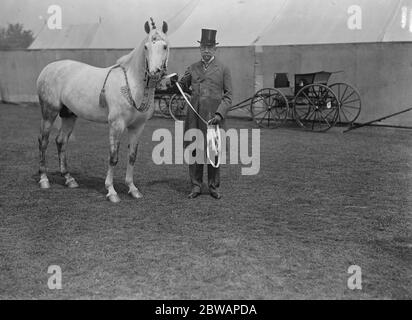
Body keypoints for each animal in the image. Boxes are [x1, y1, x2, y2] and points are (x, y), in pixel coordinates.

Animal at [36, 18, 169, 202]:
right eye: (146, 47)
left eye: (165, 46)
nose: (155, 73)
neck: (132, 84)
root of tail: (47, 69)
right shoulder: (116, 125)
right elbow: (113, 157)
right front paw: (111, 191)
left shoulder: (137, 127)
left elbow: (132, 156)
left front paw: (133, 189)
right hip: (49, 112)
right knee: (44, 141)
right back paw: (44, 179)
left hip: (69, 115)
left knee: (61, 141)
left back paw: (69, 179)